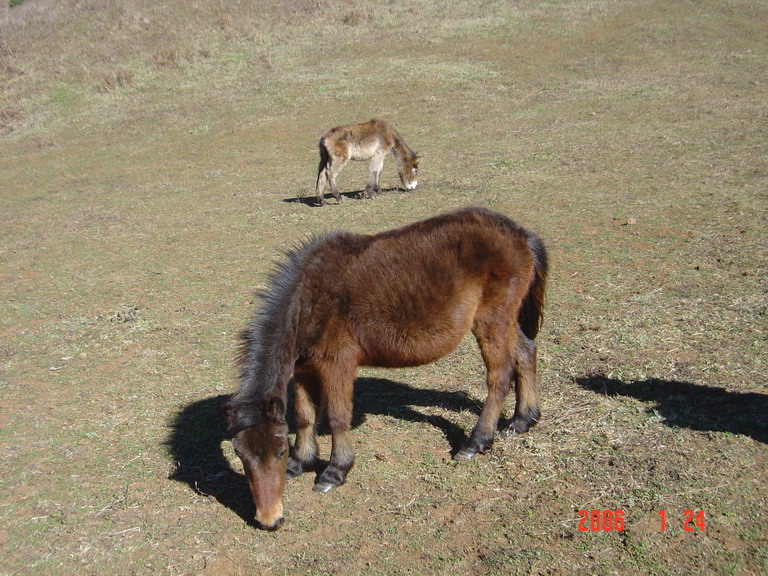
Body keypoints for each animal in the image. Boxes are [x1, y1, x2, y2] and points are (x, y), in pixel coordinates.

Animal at [222, 207, 544, 532]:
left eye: (279, 451)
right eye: (241, 455)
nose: (269, 520)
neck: (310, 297)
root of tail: (520, 233)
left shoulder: (336, 363)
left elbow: (337, 417)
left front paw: (334, 472)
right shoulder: (303, 369)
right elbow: (304, 416)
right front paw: (302, 462)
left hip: (491, 320)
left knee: (499, 377)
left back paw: (476, 441)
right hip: (506, 320)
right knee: (525, 353)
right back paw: (522, 420)